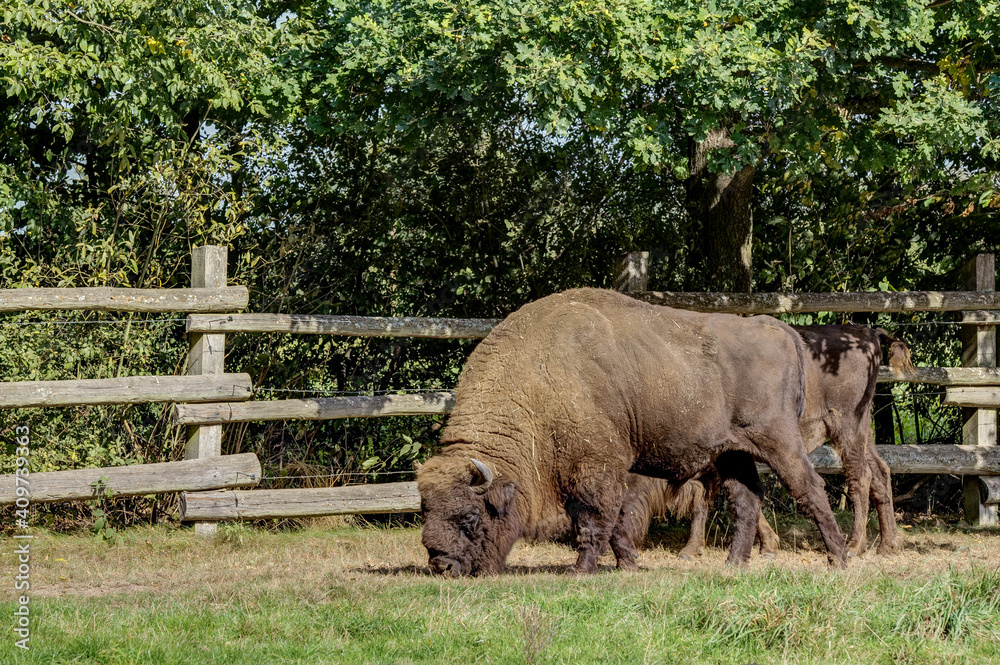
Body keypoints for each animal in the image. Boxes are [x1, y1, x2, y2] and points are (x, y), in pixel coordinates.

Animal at [417, 288, 847, 576]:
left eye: (470, 516)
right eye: (425, 511)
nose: (442, 566)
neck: (538, 381)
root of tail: (775, 328)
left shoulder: (596, 468)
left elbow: (595, 519)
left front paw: (581, 570)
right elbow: (615, 522)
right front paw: (628, 565)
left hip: (778, 441)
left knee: (809, 488)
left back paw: (839, 559)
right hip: (732, 452)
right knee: (745, 499)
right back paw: (733, 565)